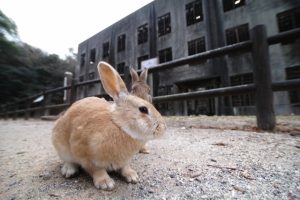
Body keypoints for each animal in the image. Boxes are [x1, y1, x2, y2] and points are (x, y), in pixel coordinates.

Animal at [50, 61, 165, 190]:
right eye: (143, 109)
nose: (162, 127)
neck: (119, 125)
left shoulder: (124, 160)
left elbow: (125, 167)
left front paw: (132, 176)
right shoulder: (85, 155)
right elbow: (96, 170)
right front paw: (105, 183)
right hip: (61, 146)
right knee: (68, 161)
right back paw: (69, 171)